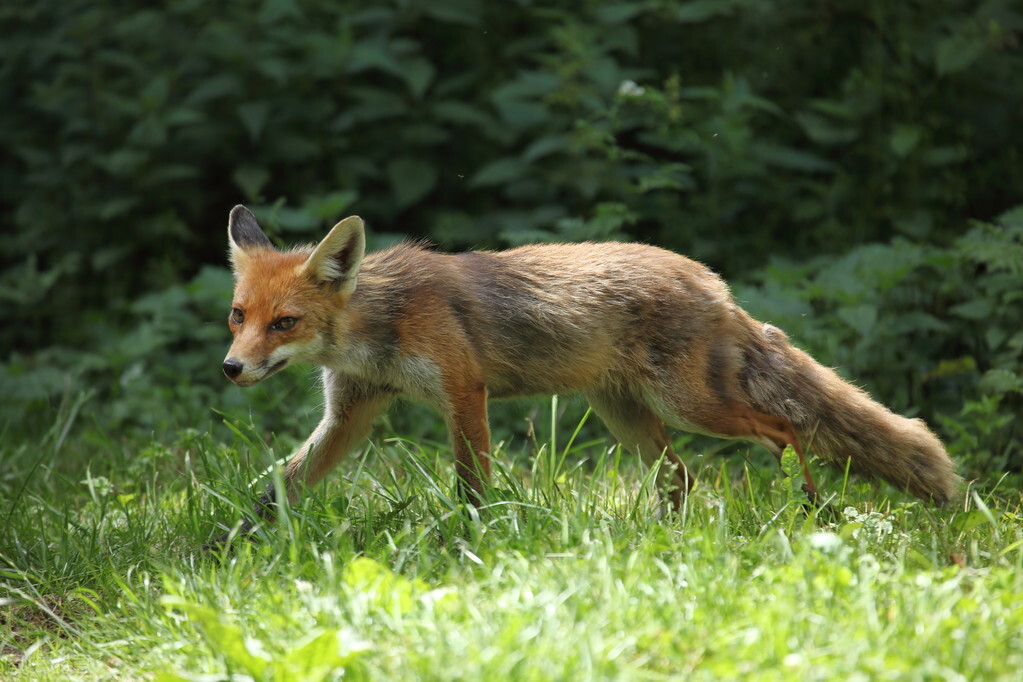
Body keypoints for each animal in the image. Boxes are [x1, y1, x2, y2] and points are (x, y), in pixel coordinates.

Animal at [213, 205, 957, 539]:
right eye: (238, 315)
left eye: (285, 323)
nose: (231, 368)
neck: (376, 332)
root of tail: (713, 283)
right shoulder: (349, 413)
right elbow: (280, 484)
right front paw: (234, 542)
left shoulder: (464, 392)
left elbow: (471, 484)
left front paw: (475, 542)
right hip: (624, 412)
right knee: (681, 474)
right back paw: (666, 539)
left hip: (692, 405)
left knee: (783, 429)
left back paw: (802, 505)